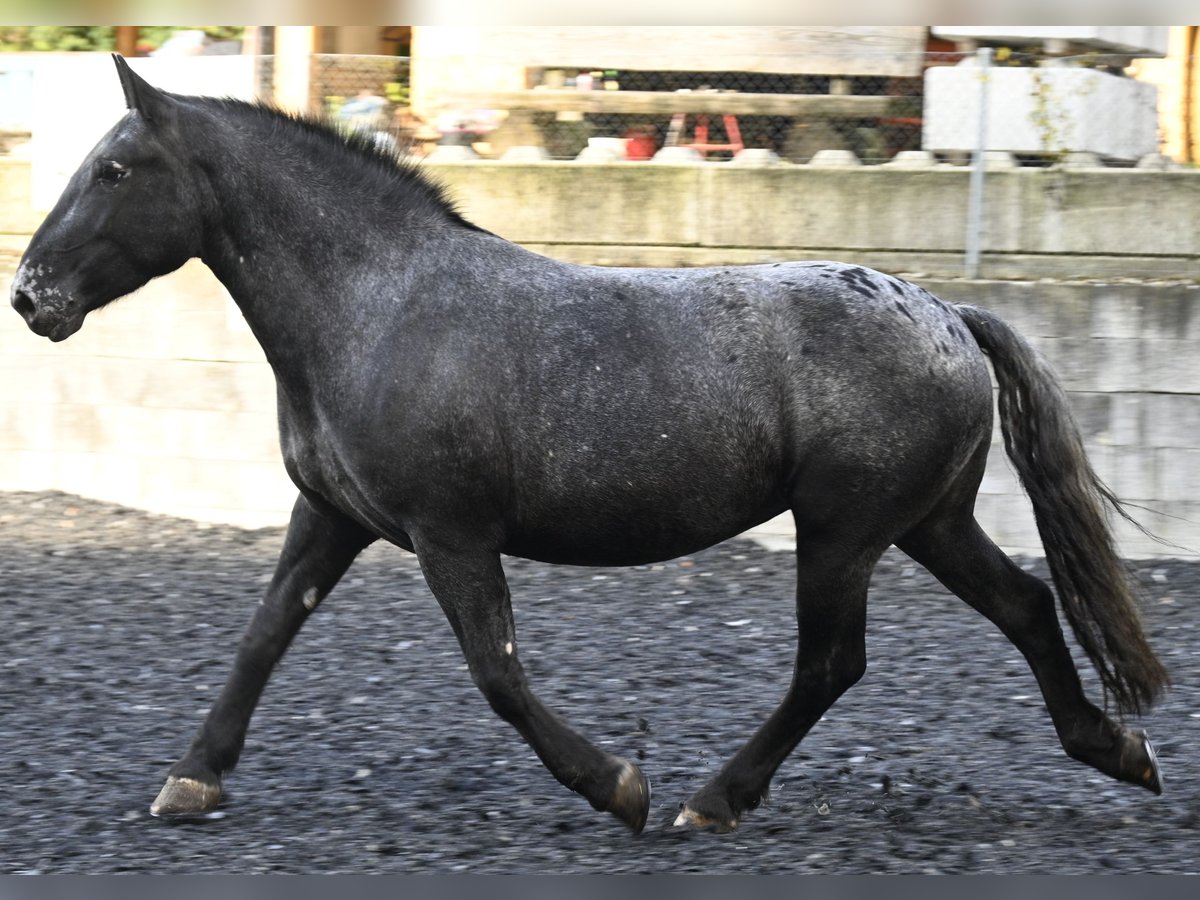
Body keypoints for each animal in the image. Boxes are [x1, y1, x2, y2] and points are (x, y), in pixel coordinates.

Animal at [9, 54, 1166, 830]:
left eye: (115, 171)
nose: (30, 296)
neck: (378, 307)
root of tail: (948, 314)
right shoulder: (333, 513)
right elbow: (262, 634)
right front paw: (190, 779)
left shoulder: (450, 532)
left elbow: (497, 673)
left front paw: (620, 785)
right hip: (925, 521)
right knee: (1025, 604)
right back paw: (1117, 747)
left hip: (844, 530)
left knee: (834, 662)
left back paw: (711, 799)